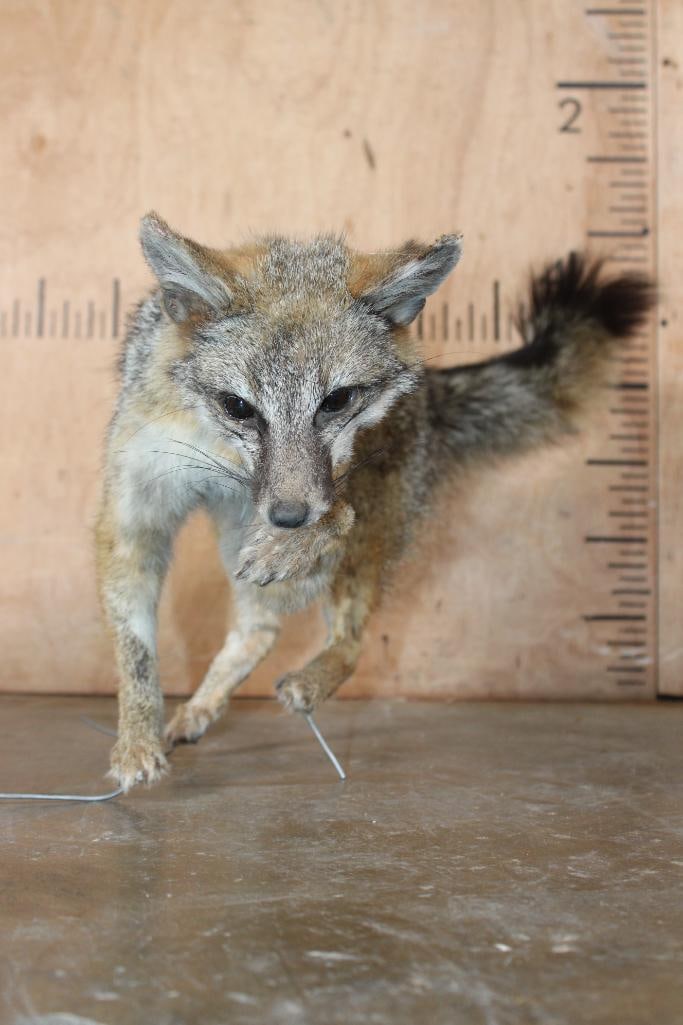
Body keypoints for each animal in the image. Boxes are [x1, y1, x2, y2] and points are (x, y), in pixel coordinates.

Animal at [96, 212, 654, 790]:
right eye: (238, 407)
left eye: (337, 400)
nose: (289, 519)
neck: (217, 454)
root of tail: (430, 396)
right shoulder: (134, 511)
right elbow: (135, 647)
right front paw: (136, 737)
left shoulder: (330, 488)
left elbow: (337, 515)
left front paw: (293, 546)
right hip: (238, 537)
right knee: (262, 627)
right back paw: (202, 706)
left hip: (349, 548)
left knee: (349, 642)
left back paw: (308, 673)